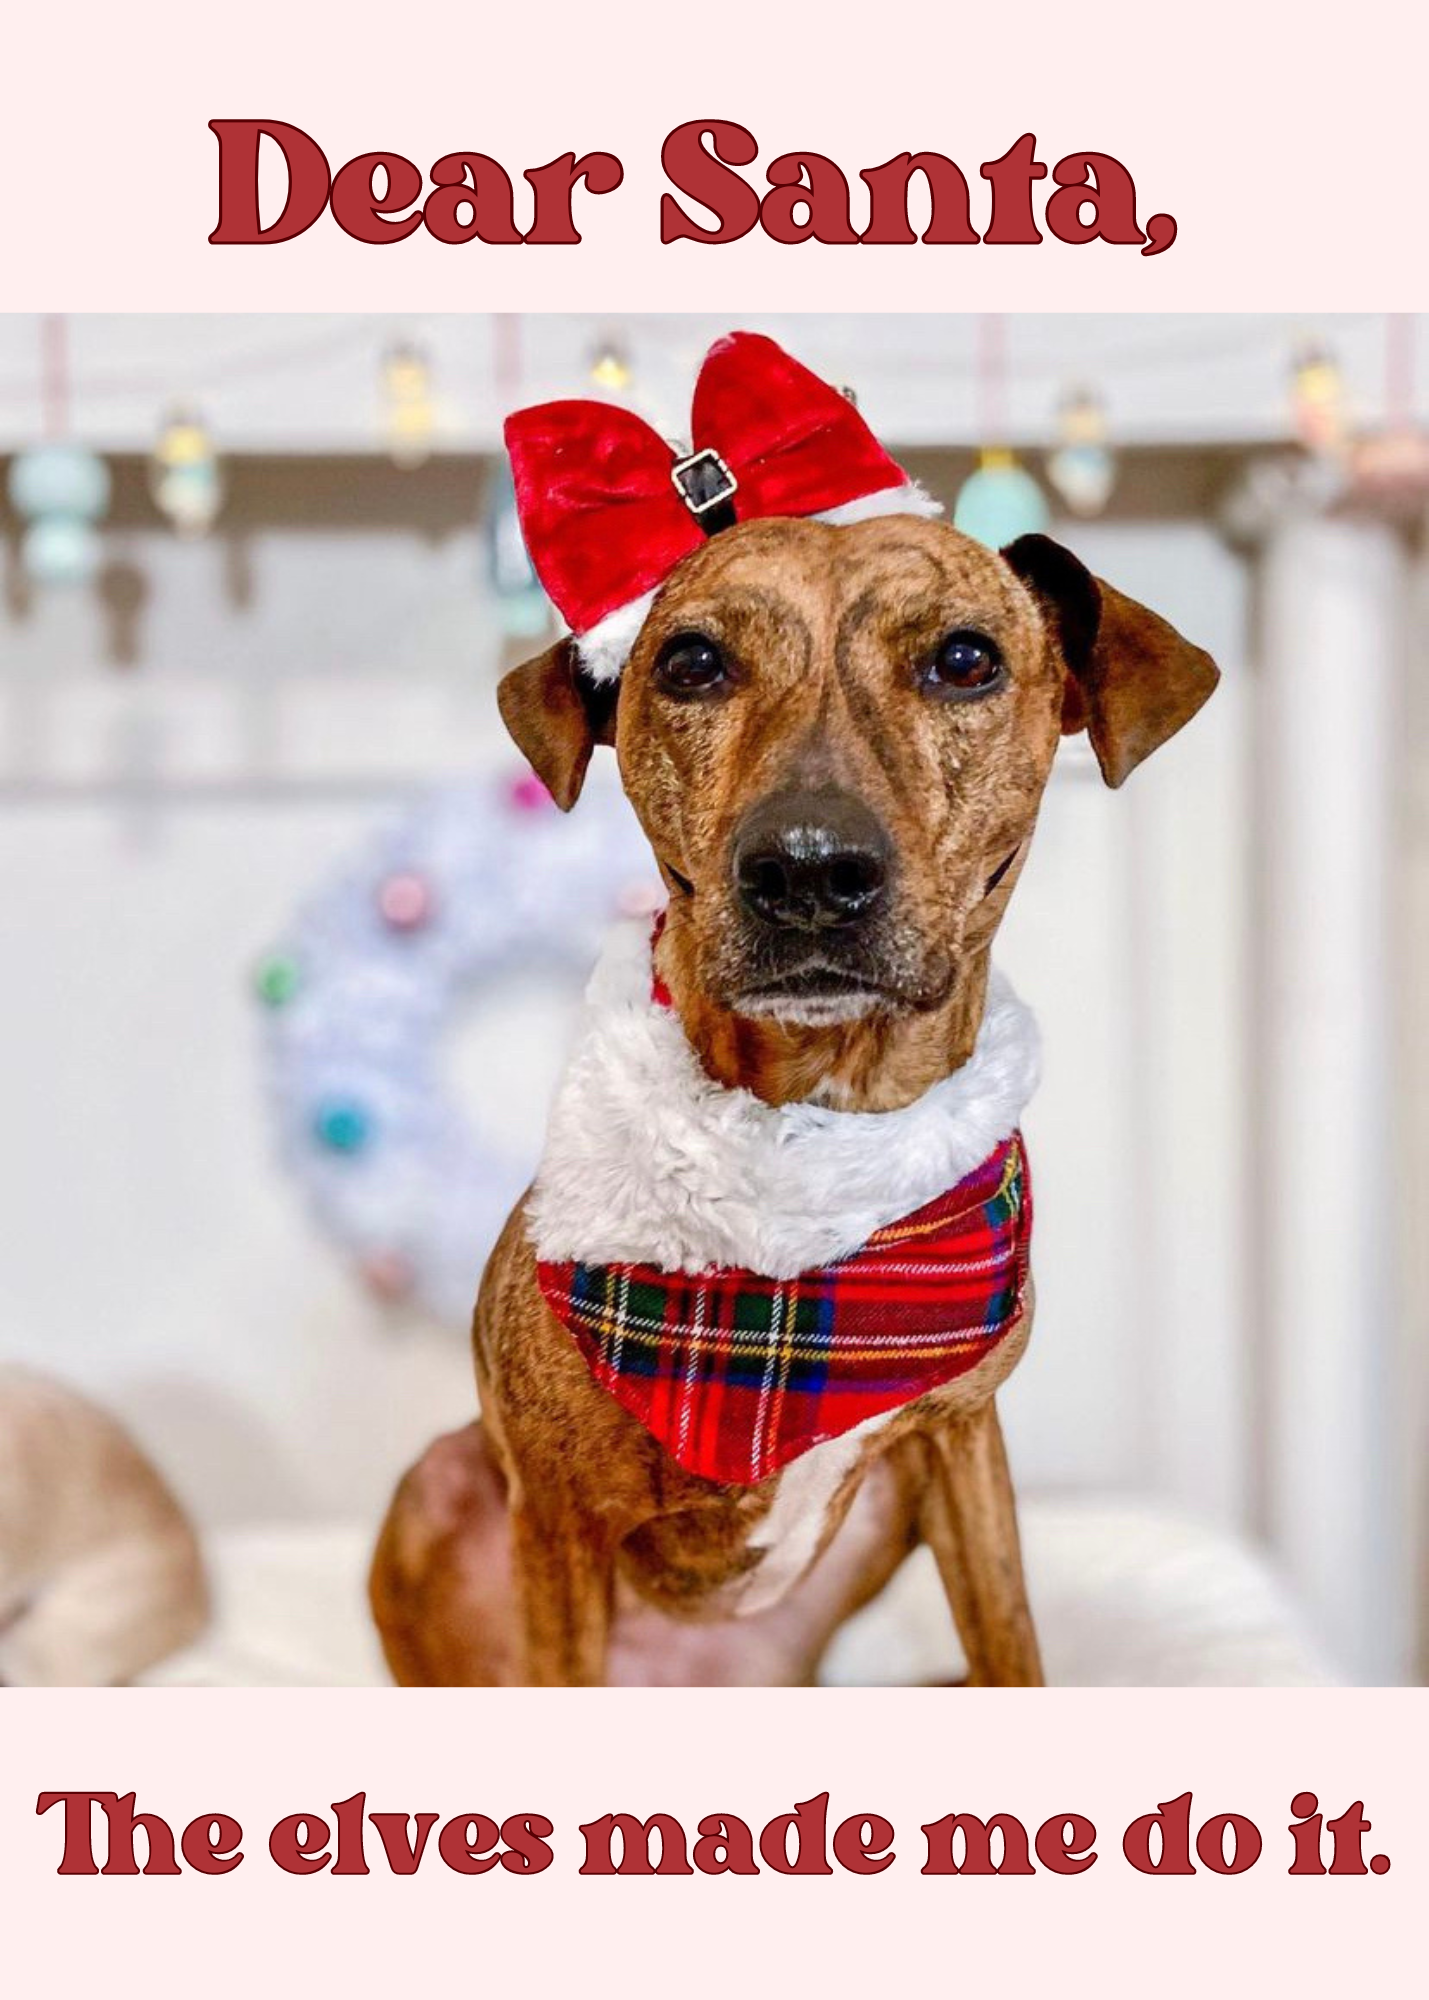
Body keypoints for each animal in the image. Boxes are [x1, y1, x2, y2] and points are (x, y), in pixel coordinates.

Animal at [368, 516, 1216, 1688]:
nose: (807, 869)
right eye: (691, 663)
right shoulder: (555, 1514)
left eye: (964, 660)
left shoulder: (962, 1442)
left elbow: (1008, 1639)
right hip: (435, 1490)